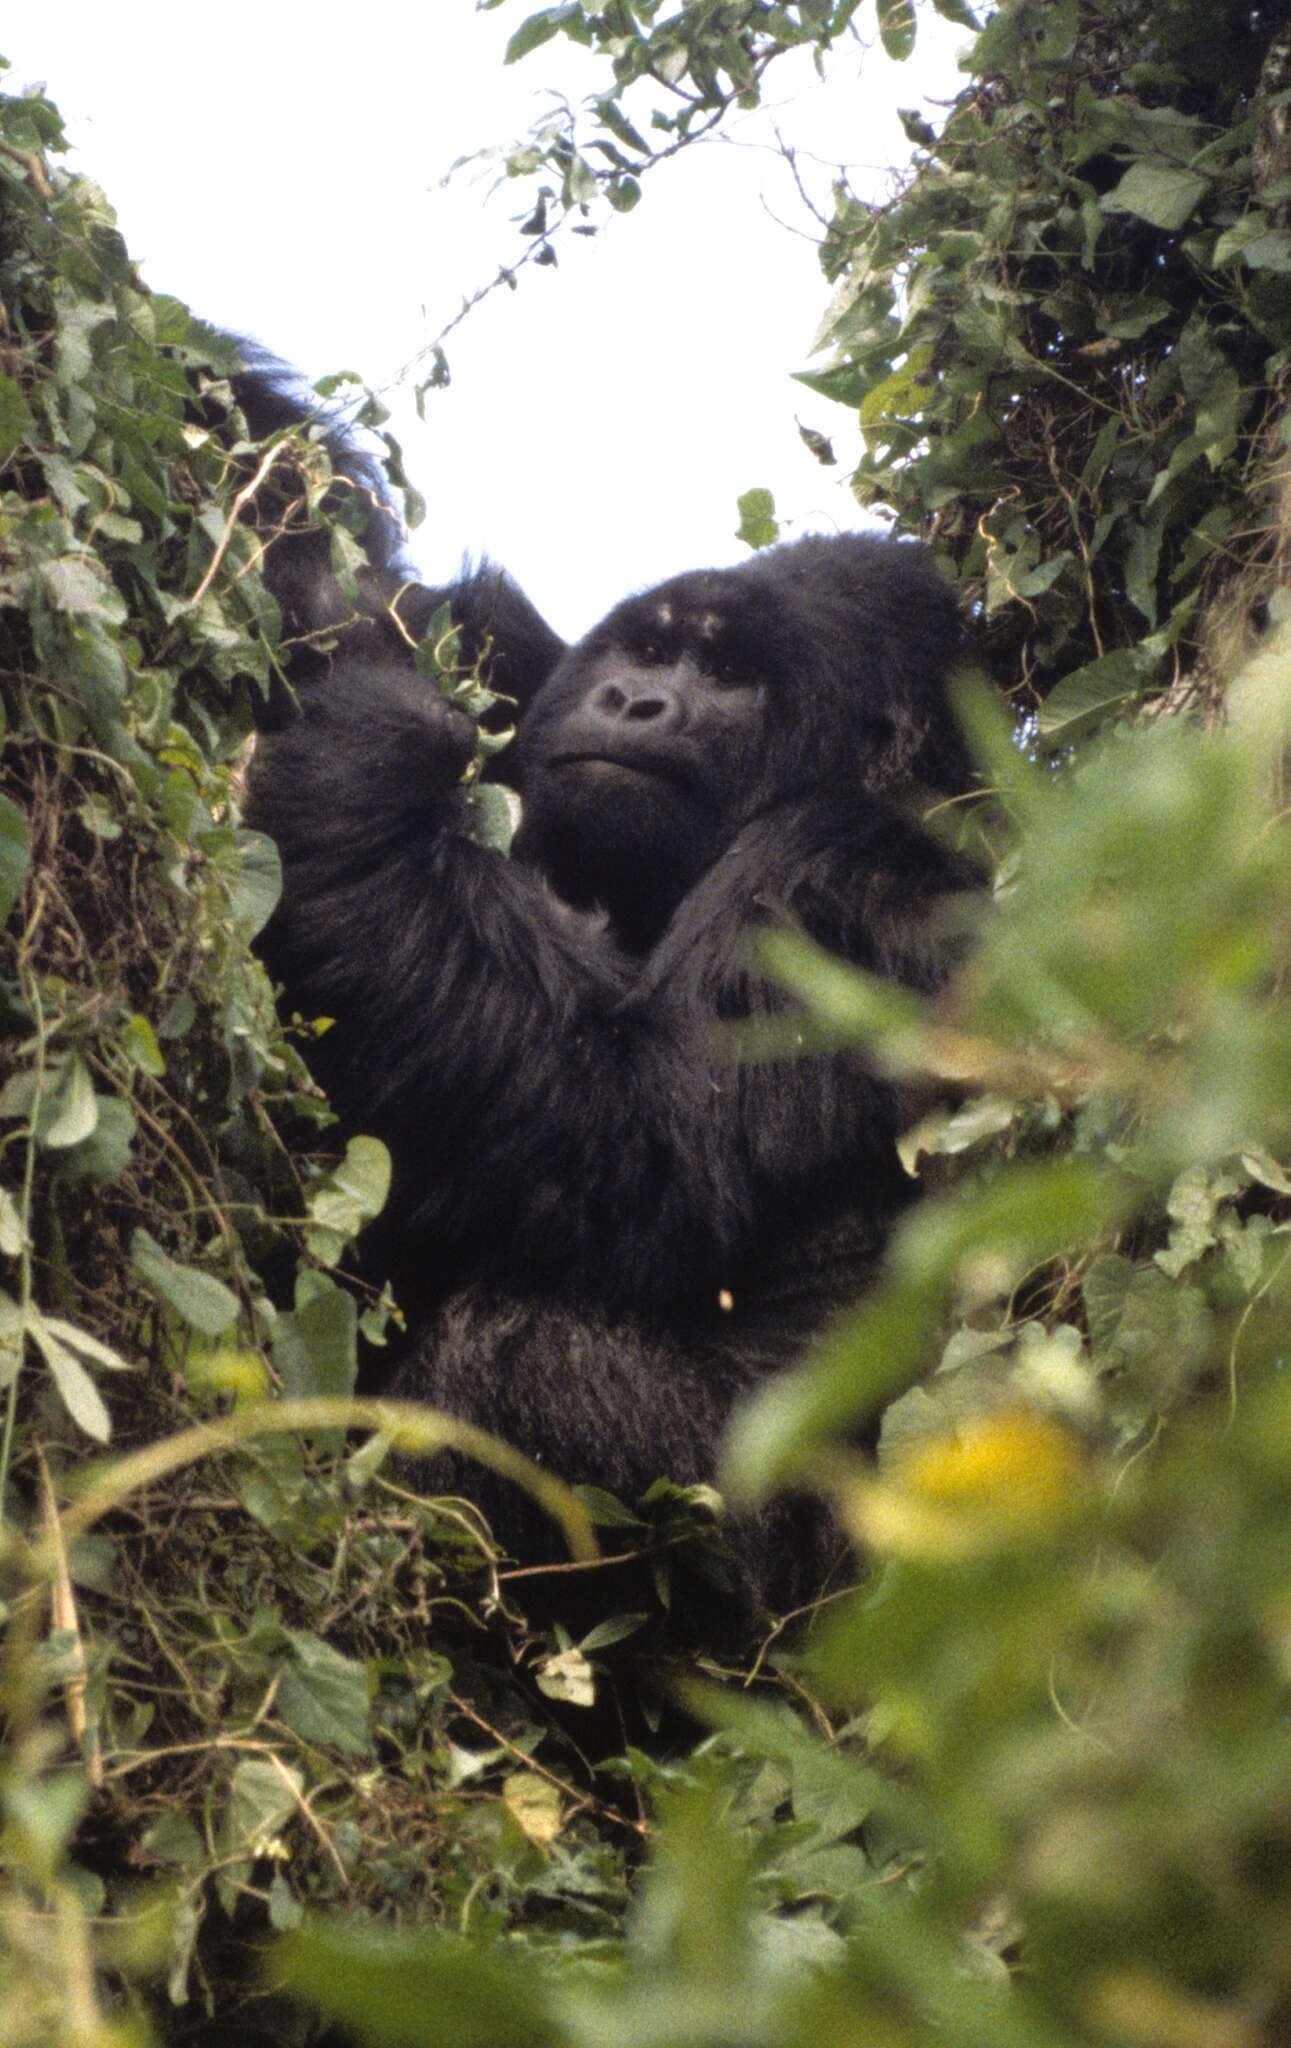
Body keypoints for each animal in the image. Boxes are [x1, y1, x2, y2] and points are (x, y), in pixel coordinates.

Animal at [240, 368, 971, 1613]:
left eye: (725, 675)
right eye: (644, 645)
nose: (631, 700)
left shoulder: (845, 877)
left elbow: (639, 1144)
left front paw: (369, 748)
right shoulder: (520, 664)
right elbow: (387, 588)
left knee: (519, 1363)